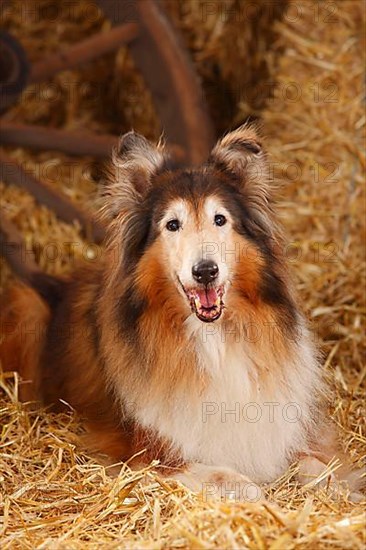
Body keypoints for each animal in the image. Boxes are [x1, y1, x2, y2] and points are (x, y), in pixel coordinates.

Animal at [0, 127, 364, 502]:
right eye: (172, 224)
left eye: (220, 219)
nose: (205, 271)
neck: (213, 338)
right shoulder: (145, 453)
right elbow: (233, 480)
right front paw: (256, 494)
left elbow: (318, 466)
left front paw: (344, 490)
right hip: (25, 308)